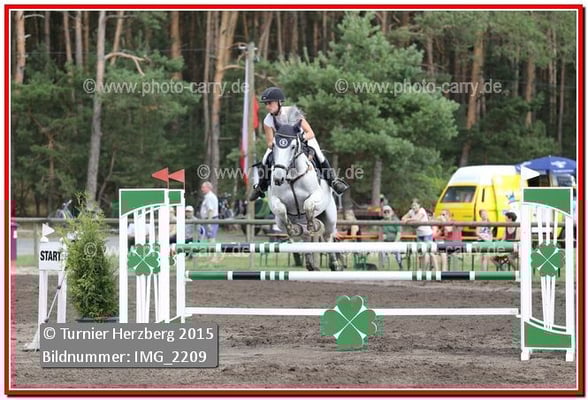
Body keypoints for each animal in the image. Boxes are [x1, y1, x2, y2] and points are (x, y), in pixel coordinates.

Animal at [267, 121, 344, 271]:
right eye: (273, 145)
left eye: (292, 146)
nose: (278, 178)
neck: (292, 176)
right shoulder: (274, 200)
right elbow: (281, 209)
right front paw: (292, 229)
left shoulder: (316, 195)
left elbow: (308, 204)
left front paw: (311, 224)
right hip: (280, 223)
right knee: (304, 236)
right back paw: (310, 263)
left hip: (330, 218)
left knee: (327, 236)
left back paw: (334, 264)